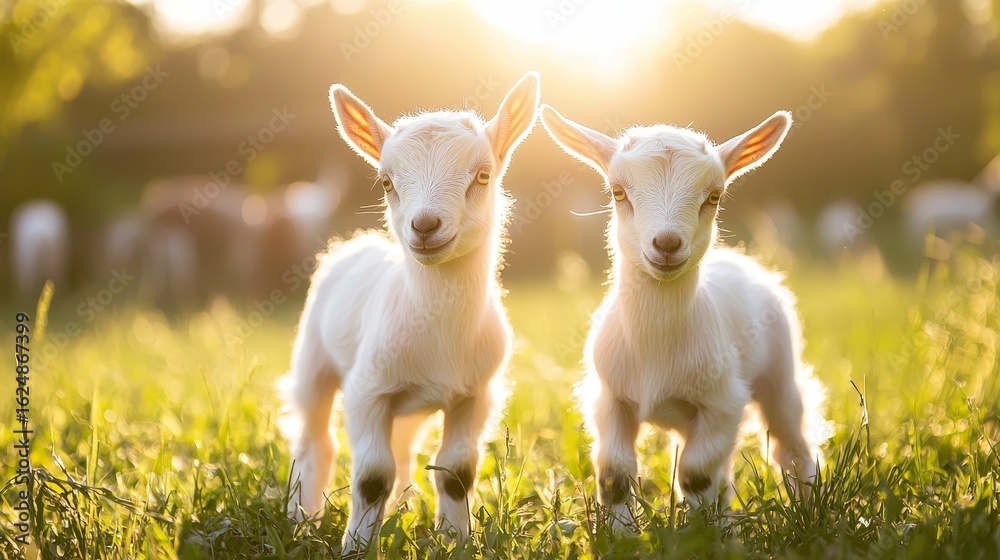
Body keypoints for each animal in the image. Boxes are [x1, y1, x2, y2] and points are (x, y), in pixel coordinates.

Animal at [282, 72, 540, 552]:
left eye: (483, 174)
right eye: (386, 182)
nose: (424, 226)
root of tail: (356, 241)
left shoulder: (475, 394)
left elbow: (456, 471)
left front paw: (456, 540)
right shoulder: (366, 391)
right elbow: (370, 477)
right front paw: (356, 547)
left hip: (408, 404)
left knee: (401, 452)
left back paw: (398, 511)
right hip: (313, 362)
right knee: (315, 441)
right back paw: (301, 519)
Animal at [540, 106, 828, 528]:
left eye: (714, 195)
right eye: (618, 191)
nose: (666, 244)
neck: (657, 347)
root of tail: (740, 259)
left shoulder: (724, 402)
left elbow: (695, 474)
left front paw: (700, 532)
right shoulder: (610, 398)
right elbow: (614, 473)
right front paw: (623, 533)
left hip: (780, 374)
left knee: (791, 446)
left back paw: (809, 510)